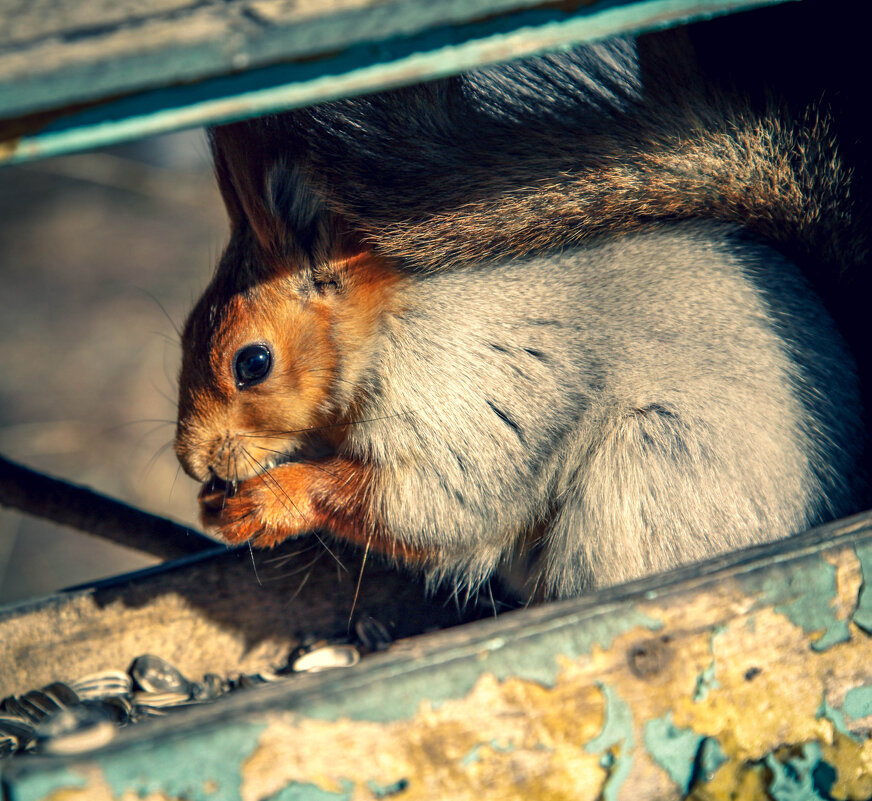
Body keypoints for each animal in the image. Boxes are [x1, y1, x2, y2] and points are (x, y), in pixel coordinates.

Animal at [175, 26, 864, 600]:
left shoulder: (472, 395)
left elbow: (434, 504)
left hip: (652, 469)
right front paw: (218, 502)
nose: (193, 463)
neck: (388, 337)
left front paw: (268, 501)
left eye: (252, 363)